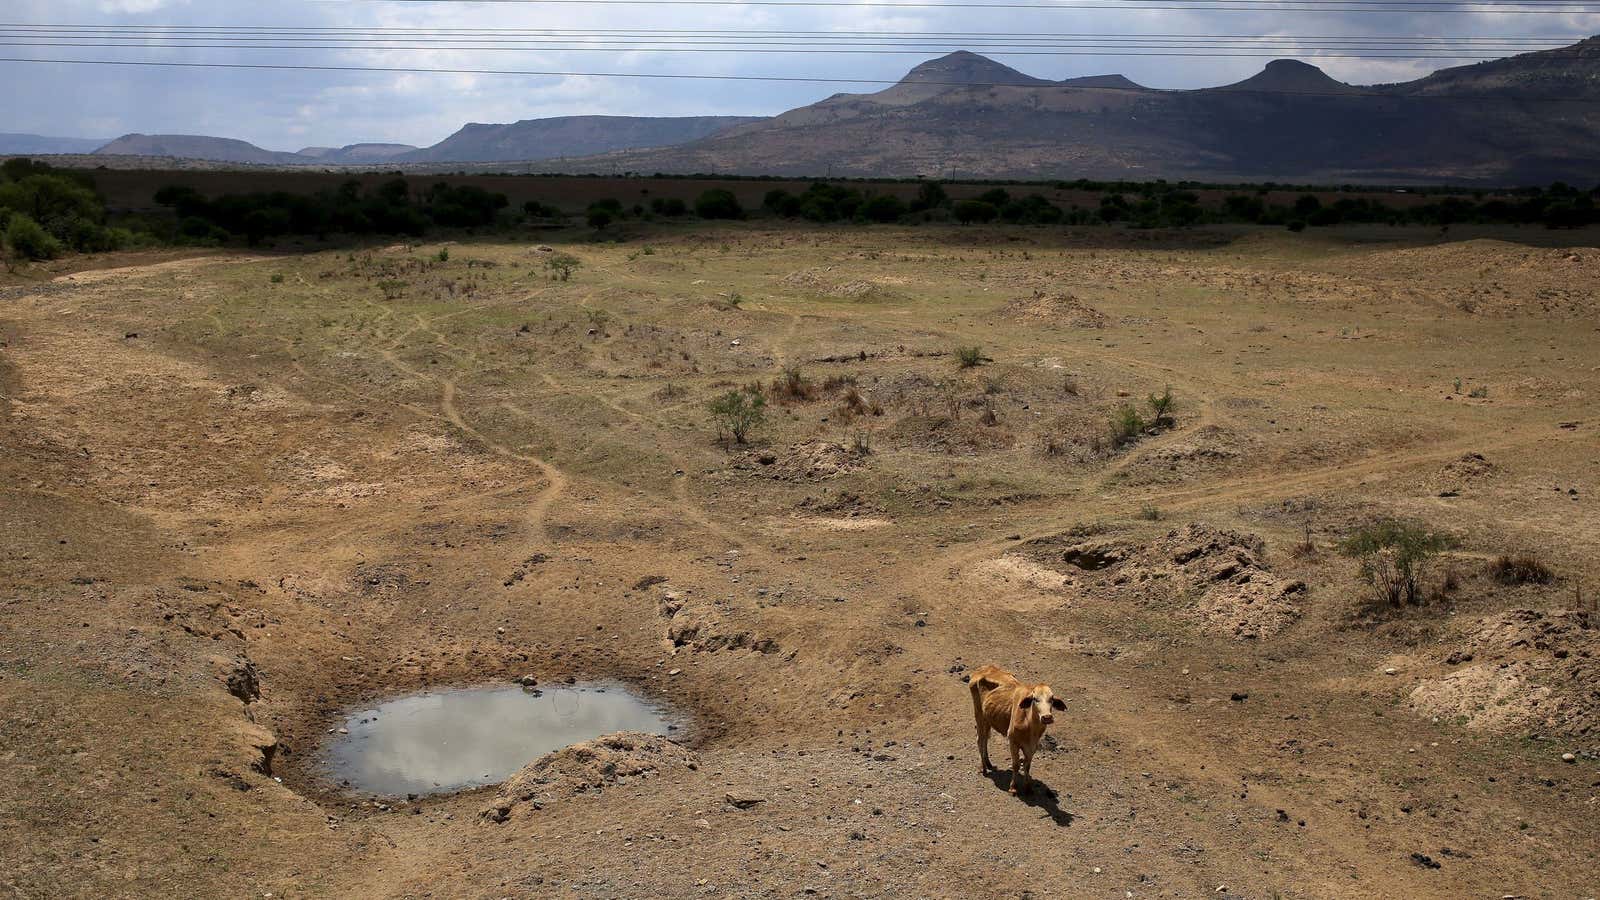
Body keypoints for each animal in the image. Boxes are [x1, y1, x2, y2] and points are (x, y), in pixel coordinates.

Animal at [966, 659, 1068, 791]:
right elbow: (1015, 765)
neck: (1031, 728)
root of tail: (982, 669)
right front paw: (1013, 787)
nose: (1047, 717)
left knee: (985, 740)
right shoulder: (1012, 741)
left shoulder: (1032, 746)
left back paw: (988, 763)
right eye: (1035, 699)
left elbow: (1027, 765)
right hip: (979, 715)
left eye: (1051, 699)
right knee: (980, 739)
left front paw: (1027, 787)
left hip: (987, 719)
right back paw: (984, 768)